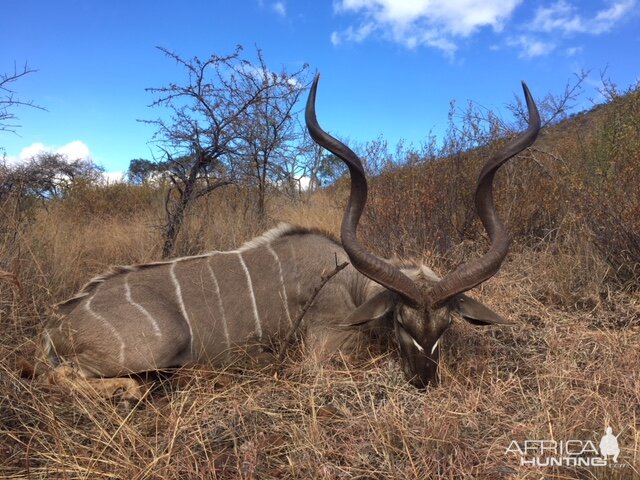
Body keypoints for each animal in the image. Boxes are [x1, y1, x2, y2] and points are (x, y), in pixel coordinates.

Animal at [38, 76, 540, 398]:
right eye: (401, 321)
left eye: (447, 325)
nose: (423, 380)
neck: (347, 280)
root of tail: (58, 326)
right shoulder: (327, 347)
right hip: (160, 345)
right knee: (60, 377)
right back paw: (137, 391)